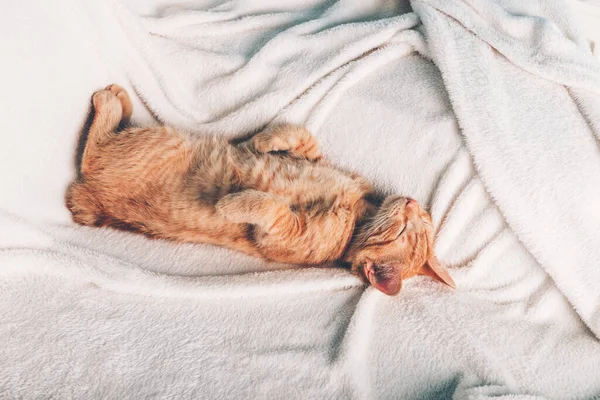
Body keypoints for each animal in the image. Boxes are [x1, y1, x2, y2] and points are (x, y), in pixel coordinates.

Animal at [67, 84, 454, 296]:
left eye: (405, 230)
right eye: (420, 220)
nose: (412, 202)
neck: (360, 212)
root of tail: (90, 196)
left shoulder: (286, 234)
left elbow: (272, 208)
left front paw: (233, 203)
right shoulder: (313, 157)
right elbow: (302, 137)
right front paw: (264, 141)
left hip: (159, 142)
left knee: (93, 147)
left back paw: (110, 100)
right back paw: (121, 100)